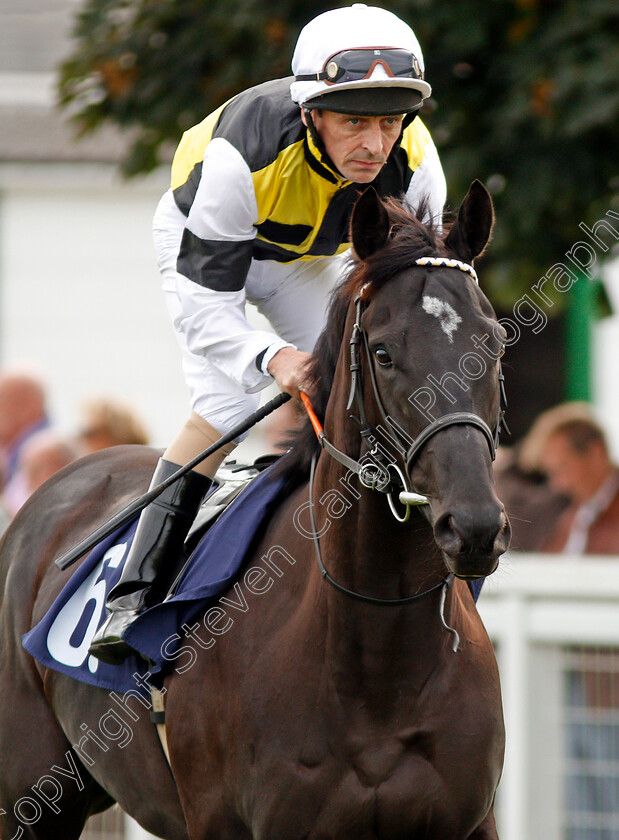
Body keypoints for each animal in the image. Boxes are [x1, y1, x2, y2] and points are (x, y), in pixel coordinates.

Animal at [0, 180, 512, 836]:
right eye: (383, 352)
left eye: (493, 343)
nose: (474, 525)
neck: (377, 659)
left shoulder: (469, 819)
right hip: (33, 796)